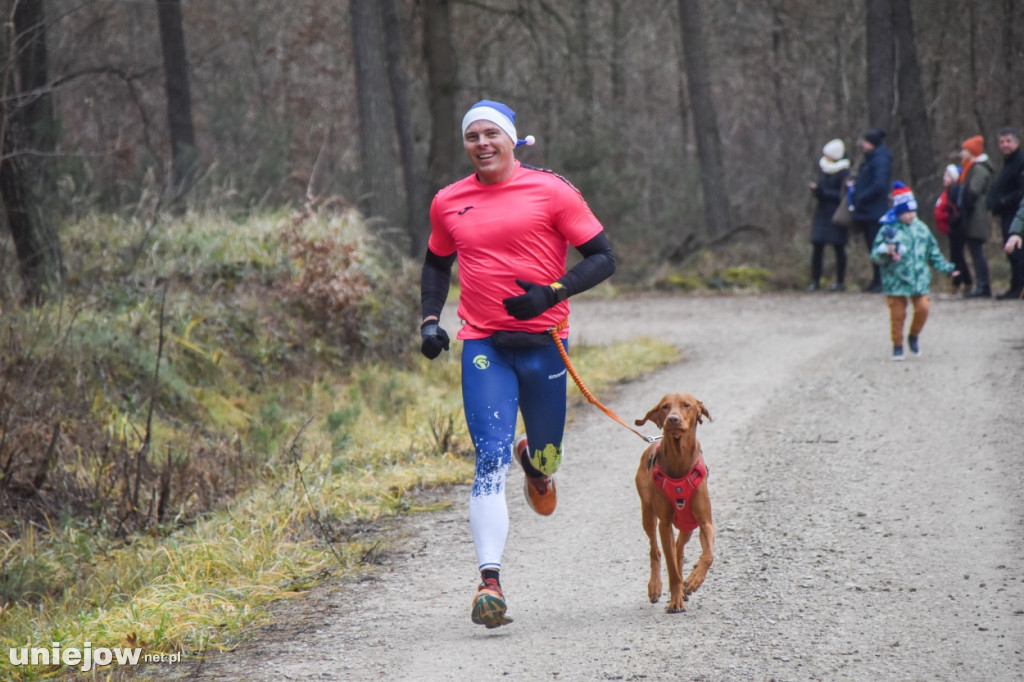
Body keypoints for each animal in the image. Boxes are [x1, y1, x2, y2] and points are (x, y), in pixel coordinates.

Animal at [630, 393, 712, 610]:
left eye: (687, 405)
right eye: (665, 407)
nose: (672, 419)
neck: (679, 459)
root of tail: (652, 442)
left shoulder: (705, 522)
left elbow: (708, 555)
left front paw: (694, 579)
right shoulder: (665, 524)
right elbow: (671, 568)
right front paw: (675, 599)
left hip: (687, 526)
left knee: (678, 550)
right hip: (648, 515)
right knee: (656, 551)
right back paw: (656, 586)